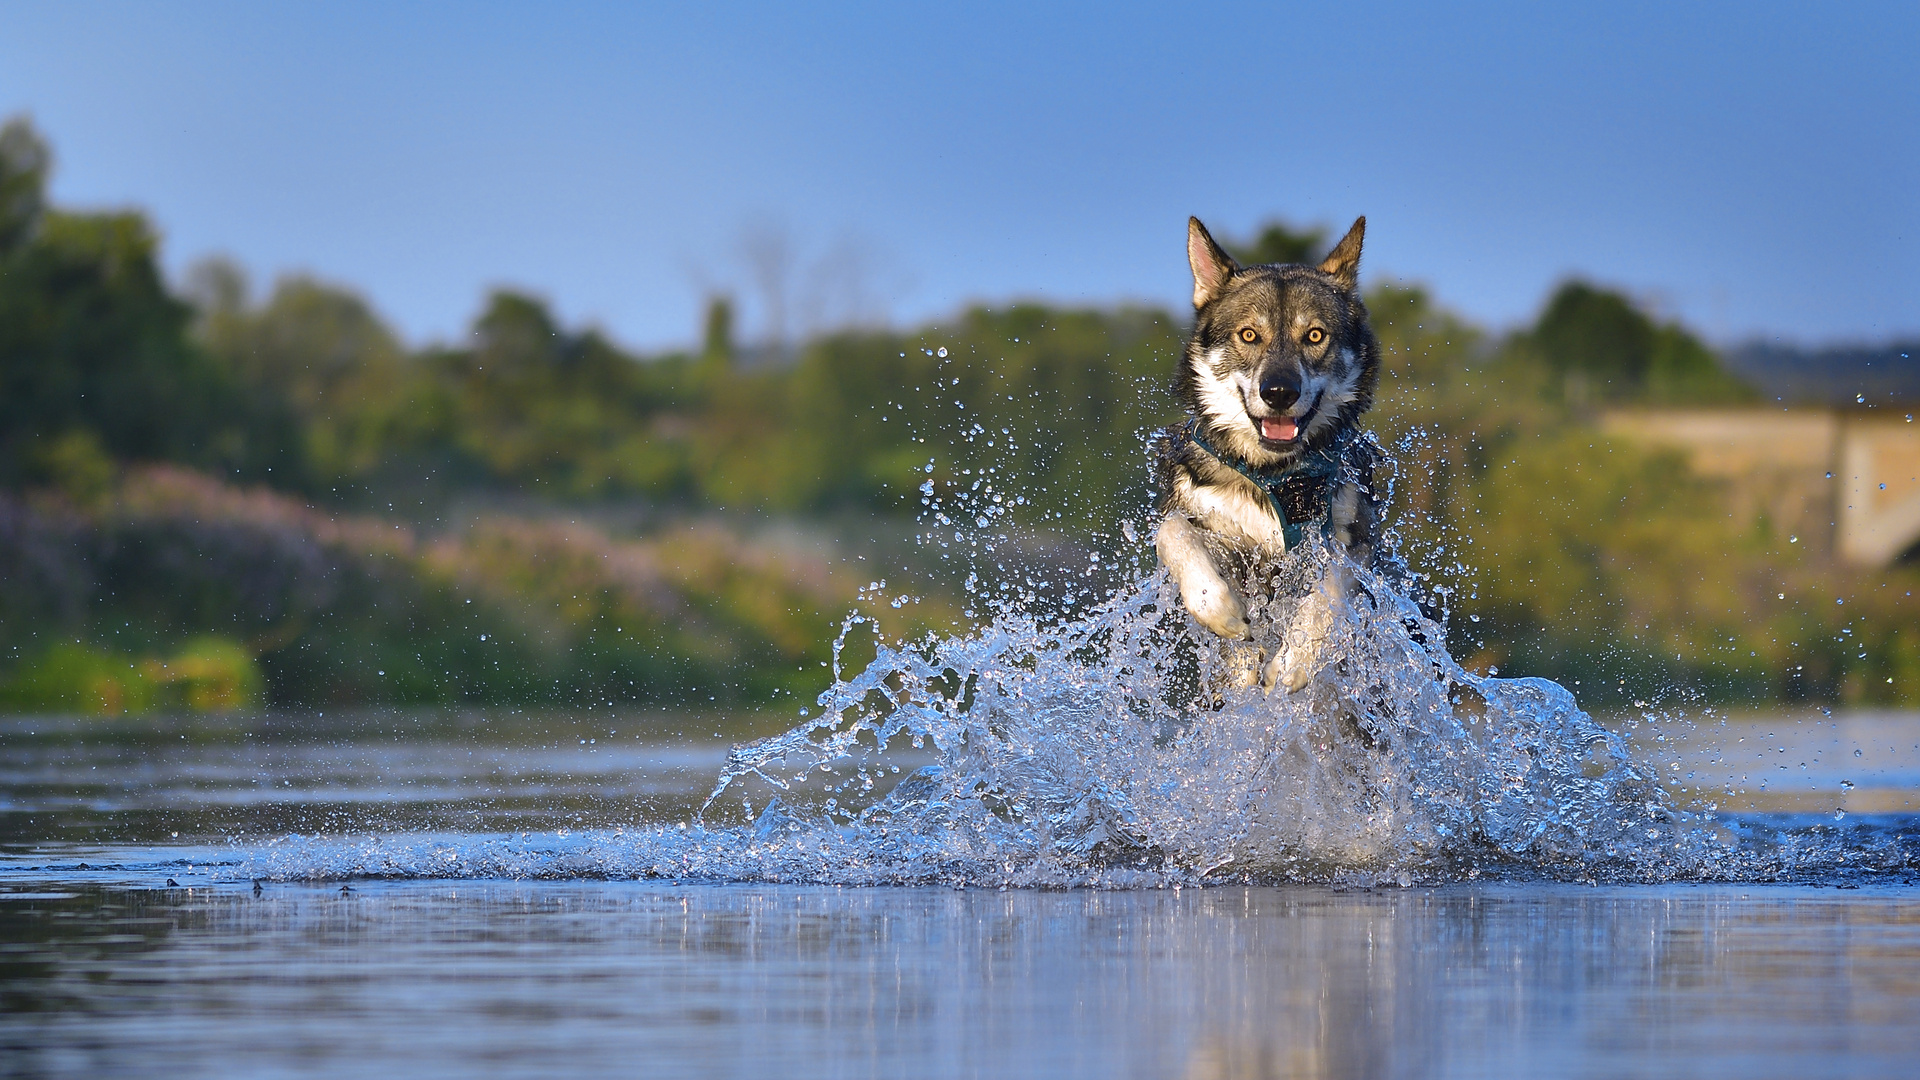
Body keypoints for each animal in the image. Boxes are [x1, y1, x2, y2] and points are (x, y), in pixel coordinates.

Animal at [1144, 214, 1390, 691]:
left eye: (1314, 335)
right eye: (1249, 335)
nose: (1278, 393)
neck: (1277, 476)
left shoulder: (1353, 543)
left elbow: (1331, 589)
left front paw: (1295, 661)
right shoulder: (1204, 525)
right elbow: (1174, 534)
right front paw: (1222, 611)